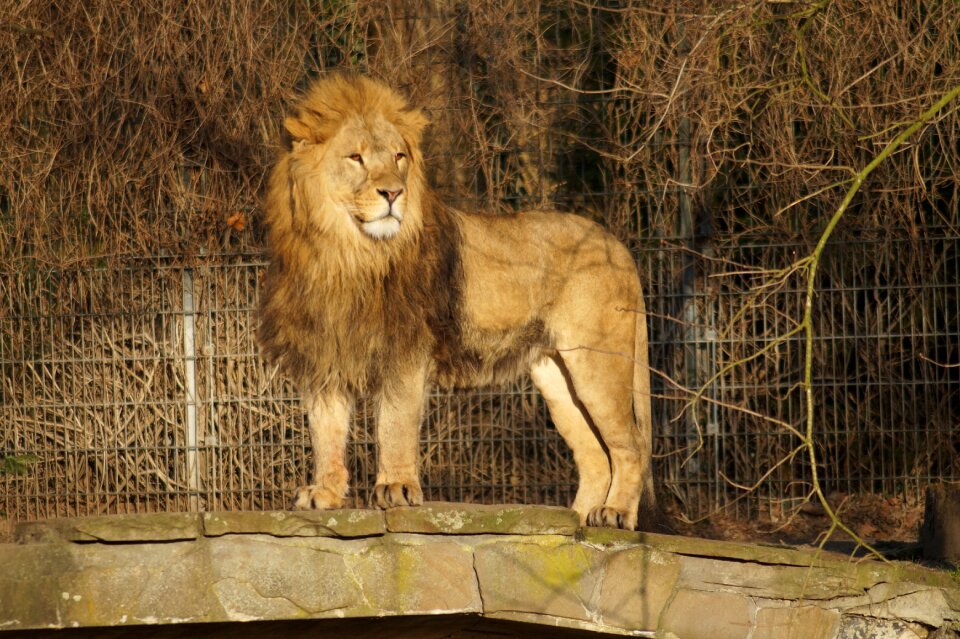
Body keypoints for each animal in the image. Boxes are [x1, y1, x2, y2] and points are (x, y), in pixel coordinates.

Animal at [258, 74, 656, 528]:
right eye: (355, 157)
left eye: (398, 156)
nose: (393, 193)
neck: (346, 254)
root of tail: (618, 245)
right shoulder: (325, 353)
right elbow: (325, 432)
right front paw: (323, 494)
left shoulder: (406, 349)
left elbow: (394, 422)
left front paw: (397, 488)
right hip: (557, 375)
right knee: (594, 456)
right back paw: (574, 521)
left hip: (598, 362)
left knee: (630, 446)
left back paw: (614, 514)